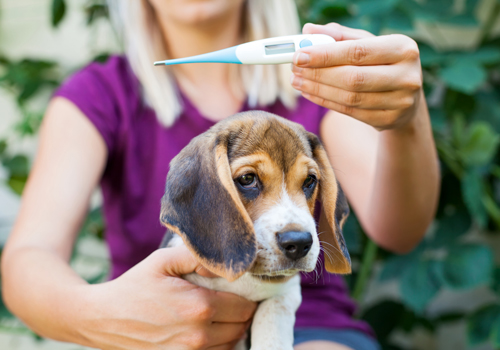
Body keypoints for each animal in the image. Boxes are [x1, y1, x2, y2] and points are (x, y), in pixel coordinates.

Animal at [160, 111, 352, 350]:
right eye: (247, 179)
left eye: (309, 180)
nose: (299, 243)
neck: (245, 280)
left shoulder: (287, 288)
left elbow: (274, 311)